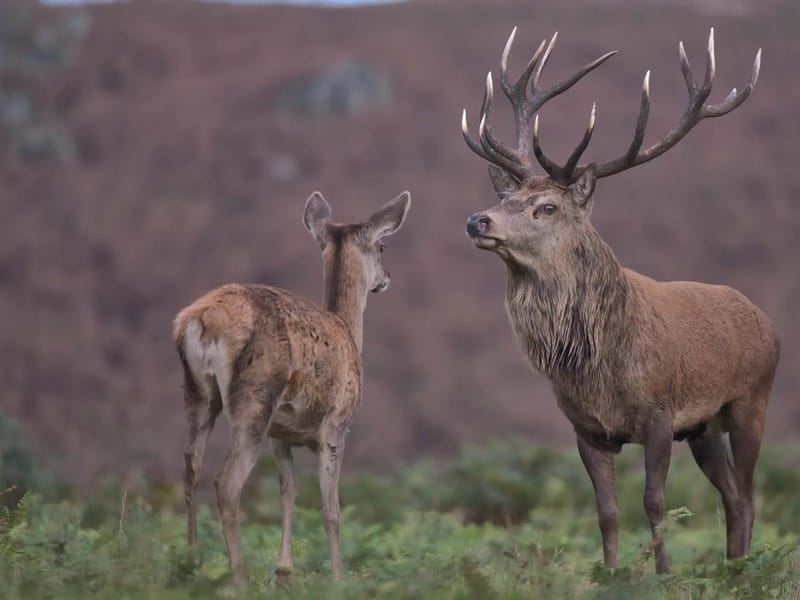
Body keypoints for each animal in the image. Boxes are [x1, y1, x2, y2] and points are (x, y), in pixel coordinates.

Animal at [172, 190, 411, 586]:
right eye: (383, 246)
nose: (387, 278)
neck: (348, 329)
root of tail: (204, 321)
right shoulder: (337, 425)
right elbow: (331, 508)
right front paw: (339, 577)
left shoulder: (281, 433)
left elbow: (289, 491)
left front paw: (284, 568)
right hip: (255, 394)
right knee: (227, 483)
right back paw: (239, 576)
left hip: (197, 390)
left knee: (191, 467)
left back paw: (191, 563)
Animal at [461, 27, 778, 574]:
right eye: (507, 199)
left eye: (547, 206)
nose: (477, 220)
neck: (598, 366)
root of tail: (768, 322)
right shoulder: (586, 429)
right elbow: (606, 512)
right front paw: (611, 574)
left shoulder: (658, 416)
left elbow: (654, 502)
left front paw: (664, 574)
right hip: (703, 429)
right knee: (735, 499)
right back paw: (732, 571)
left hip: (750, 402)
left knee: (751, 497)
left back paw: (740, 571)